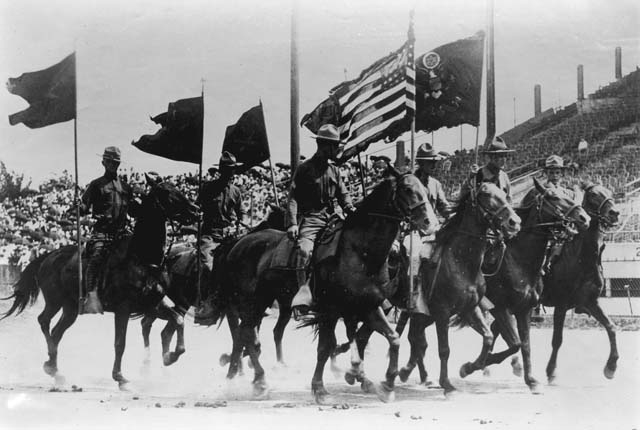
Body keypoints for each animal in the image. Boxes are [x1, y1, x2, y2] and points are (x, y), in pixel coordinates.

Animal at [1, 180, 199, 388]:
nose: (195, 210)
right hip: (55, 301)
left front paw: (171, 356)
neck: (143, 259)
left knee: (56, 332)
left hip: (70, 308)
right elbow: (120, 343)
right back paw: (52, 363)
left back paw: (54, 369)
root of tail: (48, 256)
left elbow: (178, 319)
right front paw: (120, 377)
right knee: (44, 321)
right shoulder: (123, 309)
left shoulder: (153, 305)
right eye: (168, 193)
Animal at [141, 204, 288, 366]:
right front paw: (232, 361)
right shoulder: (232, 310)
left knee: (162, 329)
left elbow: (252, 343)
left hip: (180, 304)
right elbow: (242, 339)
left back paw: (164, 358)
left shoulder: (254, 312)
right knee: (150, 324)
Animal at [210, 166, 436, 402]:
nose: (430, 222)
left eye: (425, 189)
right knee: (246, 334)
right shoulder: (331, 309)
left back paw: (249, 377)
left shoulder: (368, 306)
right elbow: (327, 347)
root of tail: (237, 244)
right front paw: (320, 388)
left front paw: (386, 384)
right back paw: (258, 380)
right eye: (408, 189)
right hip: (252, 302)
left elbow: (391, 338)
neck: (359, 251)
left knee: (247, 334)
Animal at [458, 178, 592, 394]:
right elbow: (515, 343)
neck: (518, 260)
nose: (584, 217)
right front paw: (472, 366)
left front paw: (531, 380)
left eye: (569, 195)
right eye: (553, 197)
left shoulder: (524, 309)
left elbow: (525, 344)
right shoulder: (500, 308)